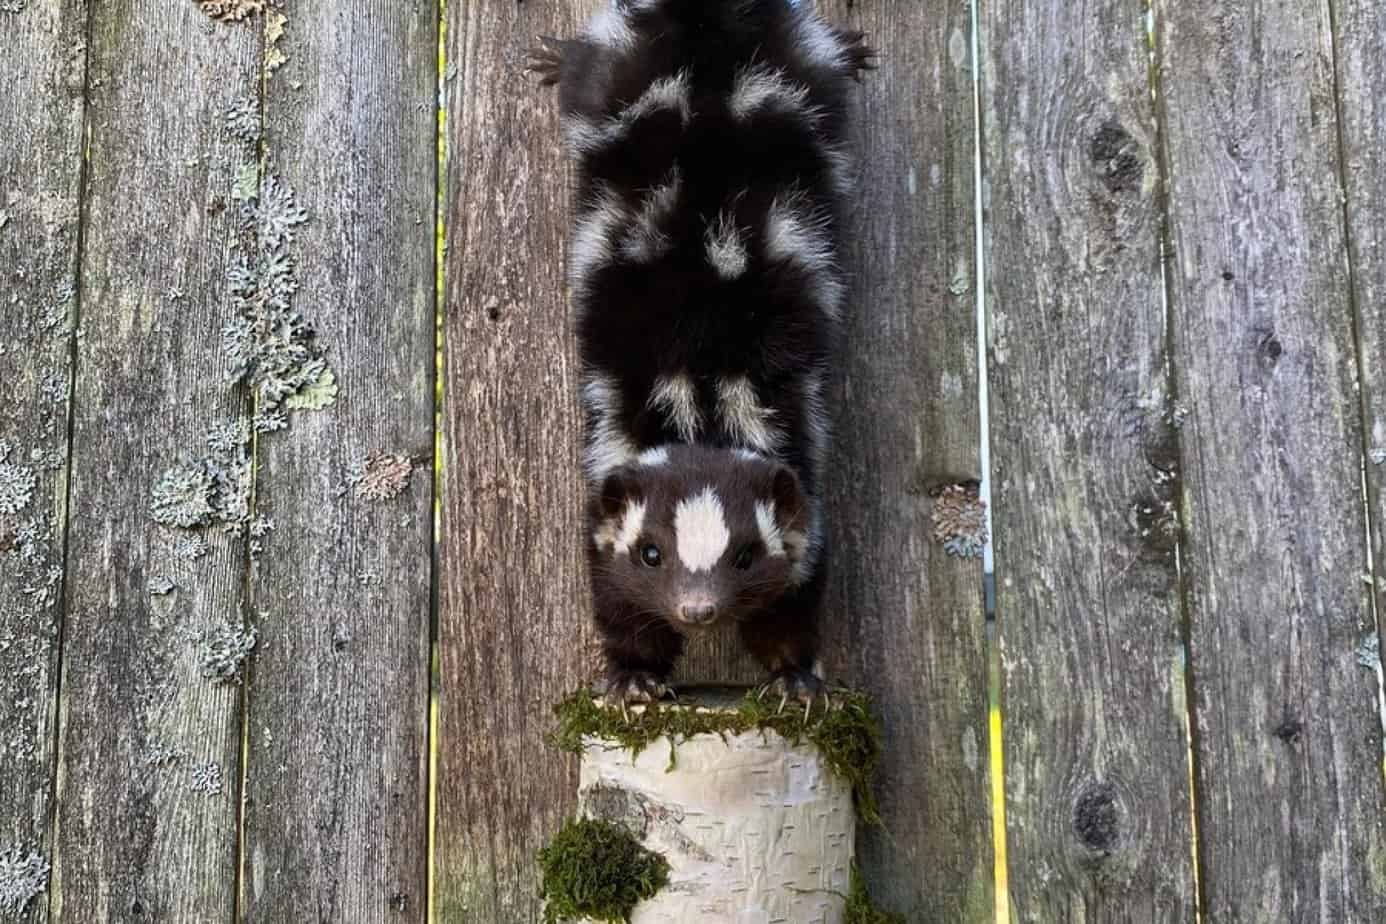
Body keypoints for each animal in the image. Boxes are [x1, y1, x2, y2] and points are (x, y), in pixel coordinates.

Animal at [523, 0, 870, 709]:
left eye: (746, 555)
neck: (703, 407)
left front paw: (794, 677)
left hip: (798, 68)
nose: (698, 610)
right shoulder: (612, 471)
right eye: (651, 553)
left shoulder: (796, 472)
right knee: (584, 76)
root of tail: (709, 24)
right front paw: (633, 676)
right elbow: (614, 596)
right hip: (623, 69)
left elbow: (794, 594)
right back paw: (555, 56)